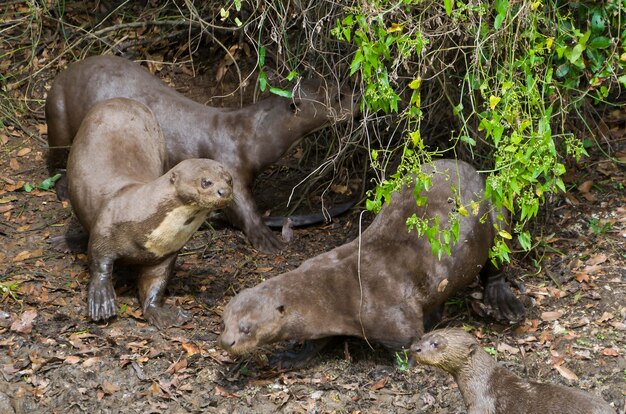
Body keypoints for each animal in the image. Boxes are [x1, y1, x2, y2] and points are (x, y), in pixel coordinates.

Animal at [46, 55, 358, 252]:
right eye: (338, 97)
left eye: (343, 86)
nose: (359, 102)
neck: (249, 135)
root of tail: (65, 71)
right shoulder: (226, 165)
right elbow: (242, 204)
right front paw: (267, 239)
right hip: (58, 113)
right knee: (57, 156)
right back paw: (63, 188)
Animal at [67, 98, 232, 328]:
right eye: (206, 182)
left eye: (229, 180)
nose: (224, 191)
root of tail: (120, 100)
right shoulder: (106, 227)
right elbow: (99, 261)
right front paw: (102, 301)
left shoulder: (164, 255)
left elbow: (155, 283)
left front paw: (161, 313)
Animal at [217, 160, 524, 368]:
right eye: (224, 322)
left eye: (246, 327)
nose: (226, 342)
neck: (332, 292)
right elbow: (316, 342)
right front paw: (290, 356)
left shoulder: (391, 315)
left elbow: (409, 341)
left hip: (496, 215)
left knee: (497, 260)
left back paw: (503, 302)